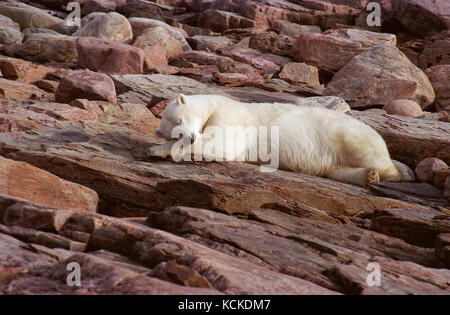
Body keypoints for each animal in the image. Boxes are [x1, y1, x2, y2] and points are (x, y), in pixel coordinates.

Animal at [149, 94, 404, 188]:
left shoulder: (231, 116)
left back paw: (388, 172)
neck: (214, 103)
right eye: (175, 132)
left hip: (346, 135)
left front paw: (157, 149)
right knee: (336, 170)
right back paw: (368, 176)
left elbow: (219, 142)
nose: (190, 137)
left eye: (181, 119)